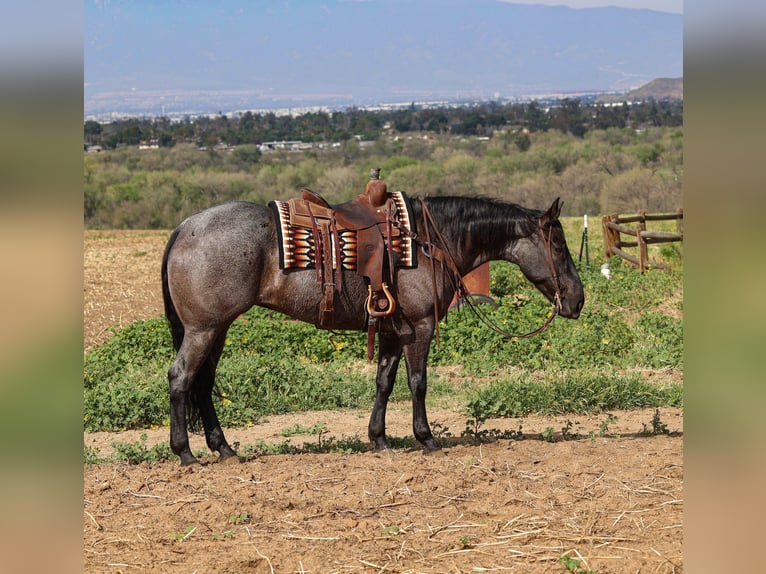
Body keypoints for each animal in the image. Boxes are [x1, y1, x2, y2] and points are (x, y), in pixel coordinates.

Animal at [161, 194, 585, 465]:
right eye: (559, 246)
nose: (577, 300)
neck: (427, 241)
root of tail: (185, 226)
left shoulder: (394, 331)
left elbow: (384, 381)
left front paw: (378, 439)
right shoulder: (420, 327)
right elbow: (417, 382)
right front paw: (426, 438)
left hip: (217, 330)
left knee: (203, 383)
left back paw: (224, 449)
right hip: (203, 330)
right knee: (181, 377)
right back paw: (185, 453)